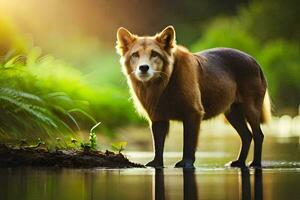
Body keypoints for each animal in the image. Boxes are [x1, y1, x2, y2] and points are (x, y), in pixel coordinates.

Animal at [116, 25, 270, 168]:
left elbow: (189, 142)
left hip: (250, 108)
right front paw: (156, 163)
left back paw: (255, 163)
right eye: (135, 54)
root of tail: (253, 60)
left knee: (258, 135)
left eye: (154, 54)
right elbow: (158, 144)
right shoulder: (158, 117)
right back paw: (239, 162)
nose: (143, 68)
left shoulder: (193, 113)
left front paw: (186, 163)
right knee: (247, 136)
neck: (164, 83)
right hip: (232, 112)